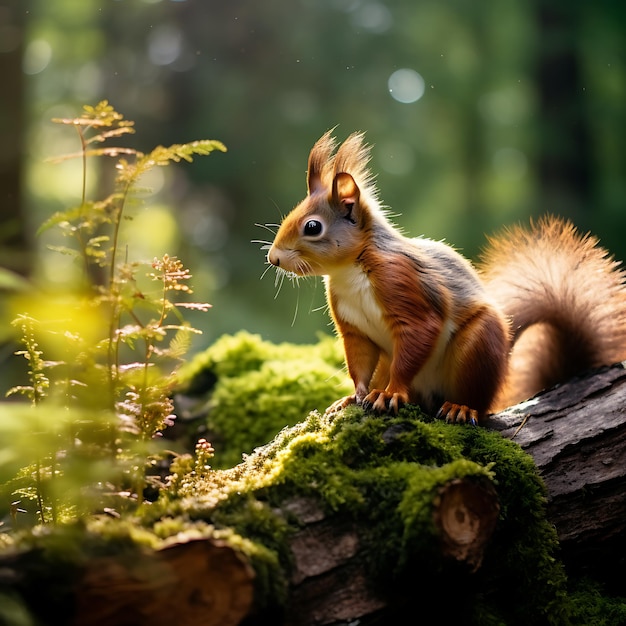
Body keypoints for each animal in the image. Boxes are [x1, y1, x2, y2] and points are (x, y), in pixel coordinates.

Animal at [264, 132, 624, 424]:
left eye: (312, 227)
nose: (273, 258)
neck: (349, 271)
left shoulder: (401, 283)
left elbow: (419, 335)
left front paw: (391, 394)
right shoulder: (354, 330)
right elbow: (359, 363)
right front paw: (354, 396)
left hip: (477, 350)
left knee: (475, 401)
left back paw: (460, 408)